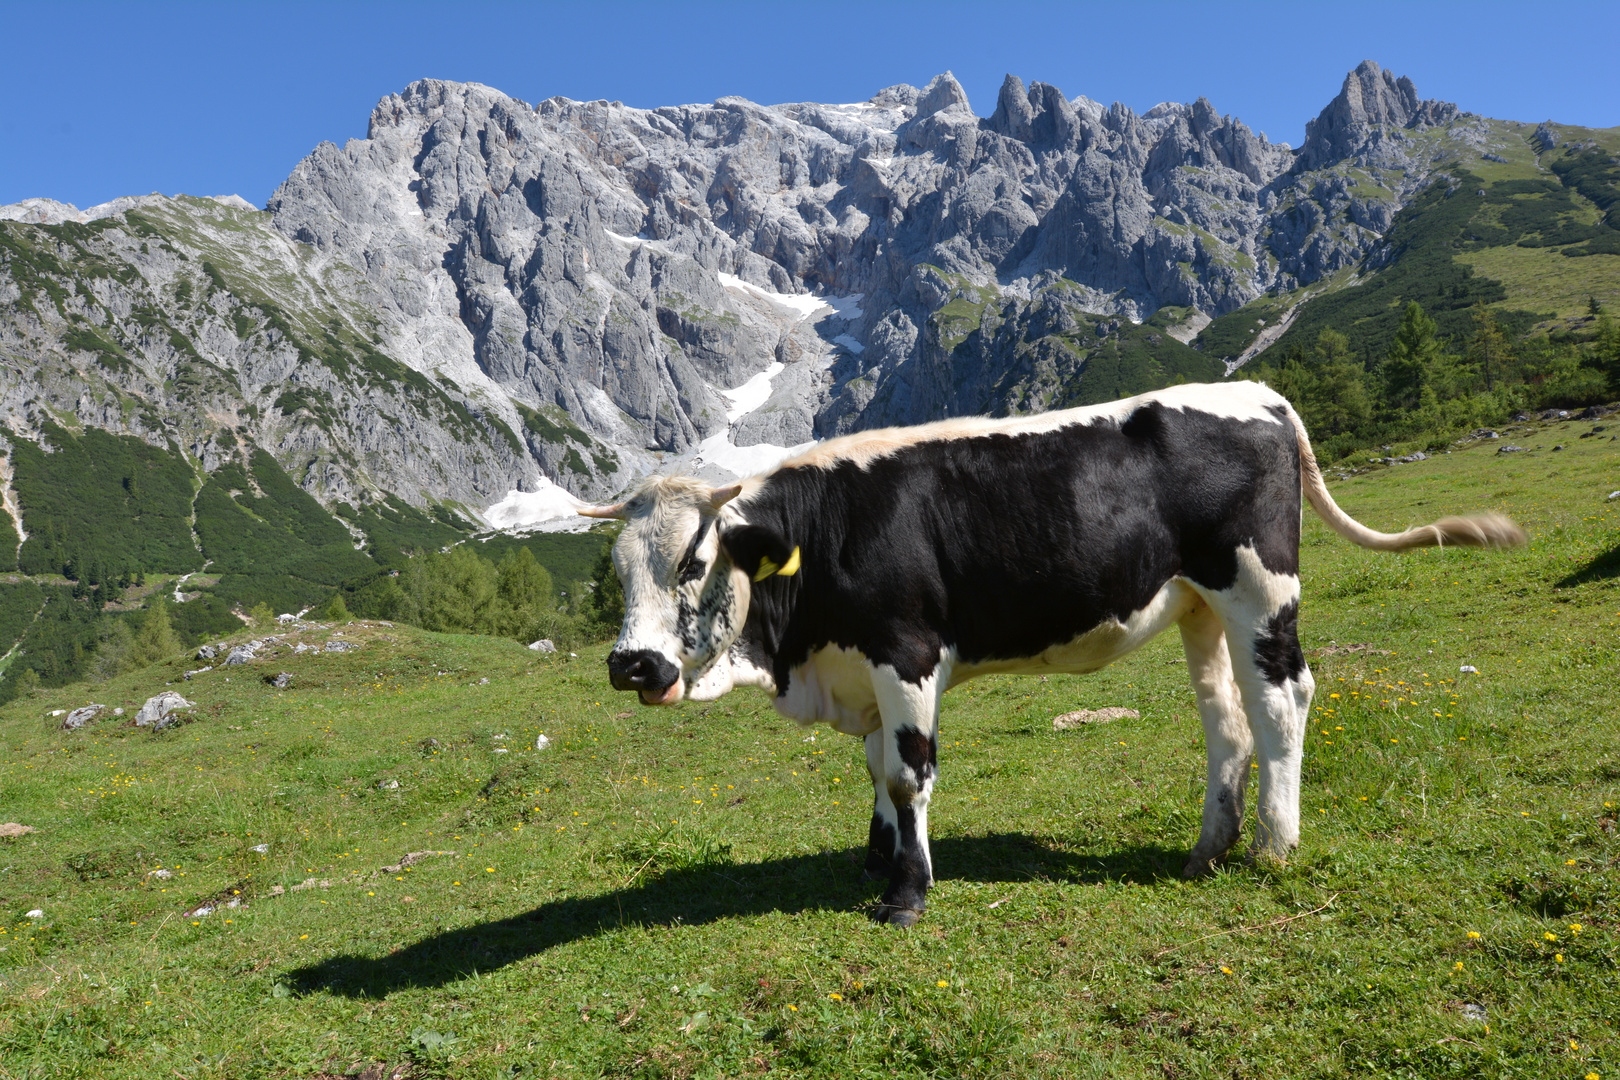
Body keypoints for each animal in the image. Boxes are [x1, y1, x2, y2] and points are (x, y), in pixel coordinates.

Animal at [586, 382, 1529, 932]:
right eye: (618, 569)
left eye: (692, 561)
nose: (632, 665)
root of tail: (1259, 394)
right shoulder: (864, 671)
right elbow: (876, 770)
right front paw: (878, 859)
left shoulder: (908, 653)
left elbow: (907, 774)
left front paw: (907, 893)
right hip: (1199, 606)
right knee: (1225, 720)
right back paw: (1208, 848)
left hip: (1259, 587)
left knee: (1283, 698)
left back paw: (1273, 843)